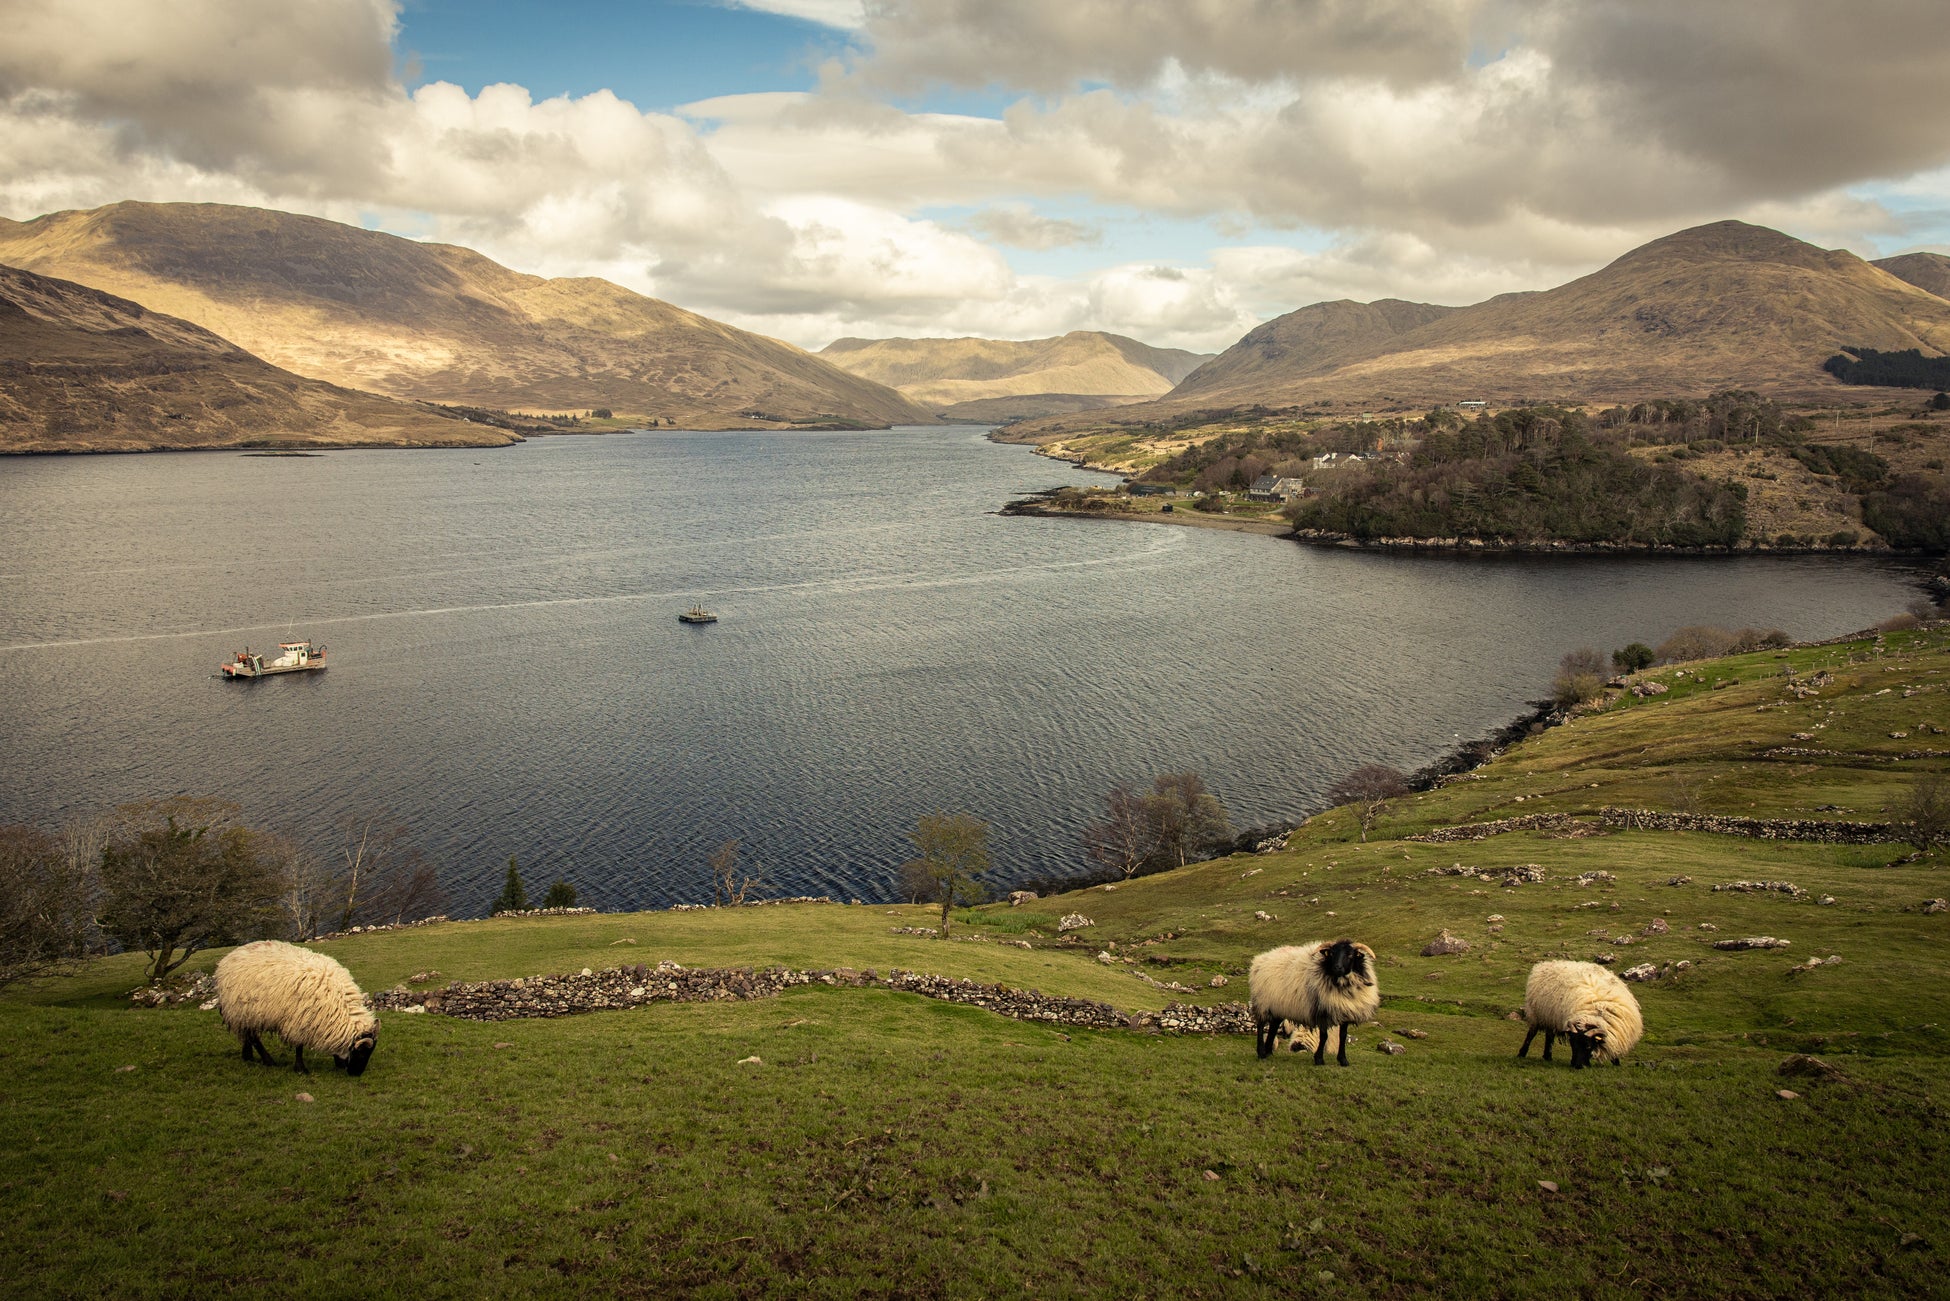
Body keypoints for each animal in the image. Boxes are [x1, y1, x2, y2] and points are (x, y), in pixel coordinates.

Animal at [215, 940, 378, 1076]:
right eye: (362, 1052)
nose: (356, 1074)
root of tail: (230, 955)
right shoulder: (298, 1021)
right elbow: (299, 1047)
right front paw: (300, 1068)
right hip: (242, 1010)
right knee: (254, 1038)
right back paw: (268, 1060)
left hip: (245, 1013)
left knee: (247, 1034)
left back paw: (248, 1056)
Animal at [1248, 947, 1388, 1068]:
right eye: (1332, 954)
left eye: (1350, 955)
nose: (1337, 967)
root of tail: (1260, 959)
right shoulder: (1322, 1012)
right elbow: (1324, 1036)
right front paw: (1319, 1059)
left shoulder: (1344, 1012)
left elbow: (1342, 1036)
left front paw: (1343, 1059)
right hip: (1263, 1003)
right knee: (1261, 1025)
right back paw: (1261, 1053)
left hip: (1277, 1006)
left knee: (1273, 1027)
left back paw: (1268, 1052)